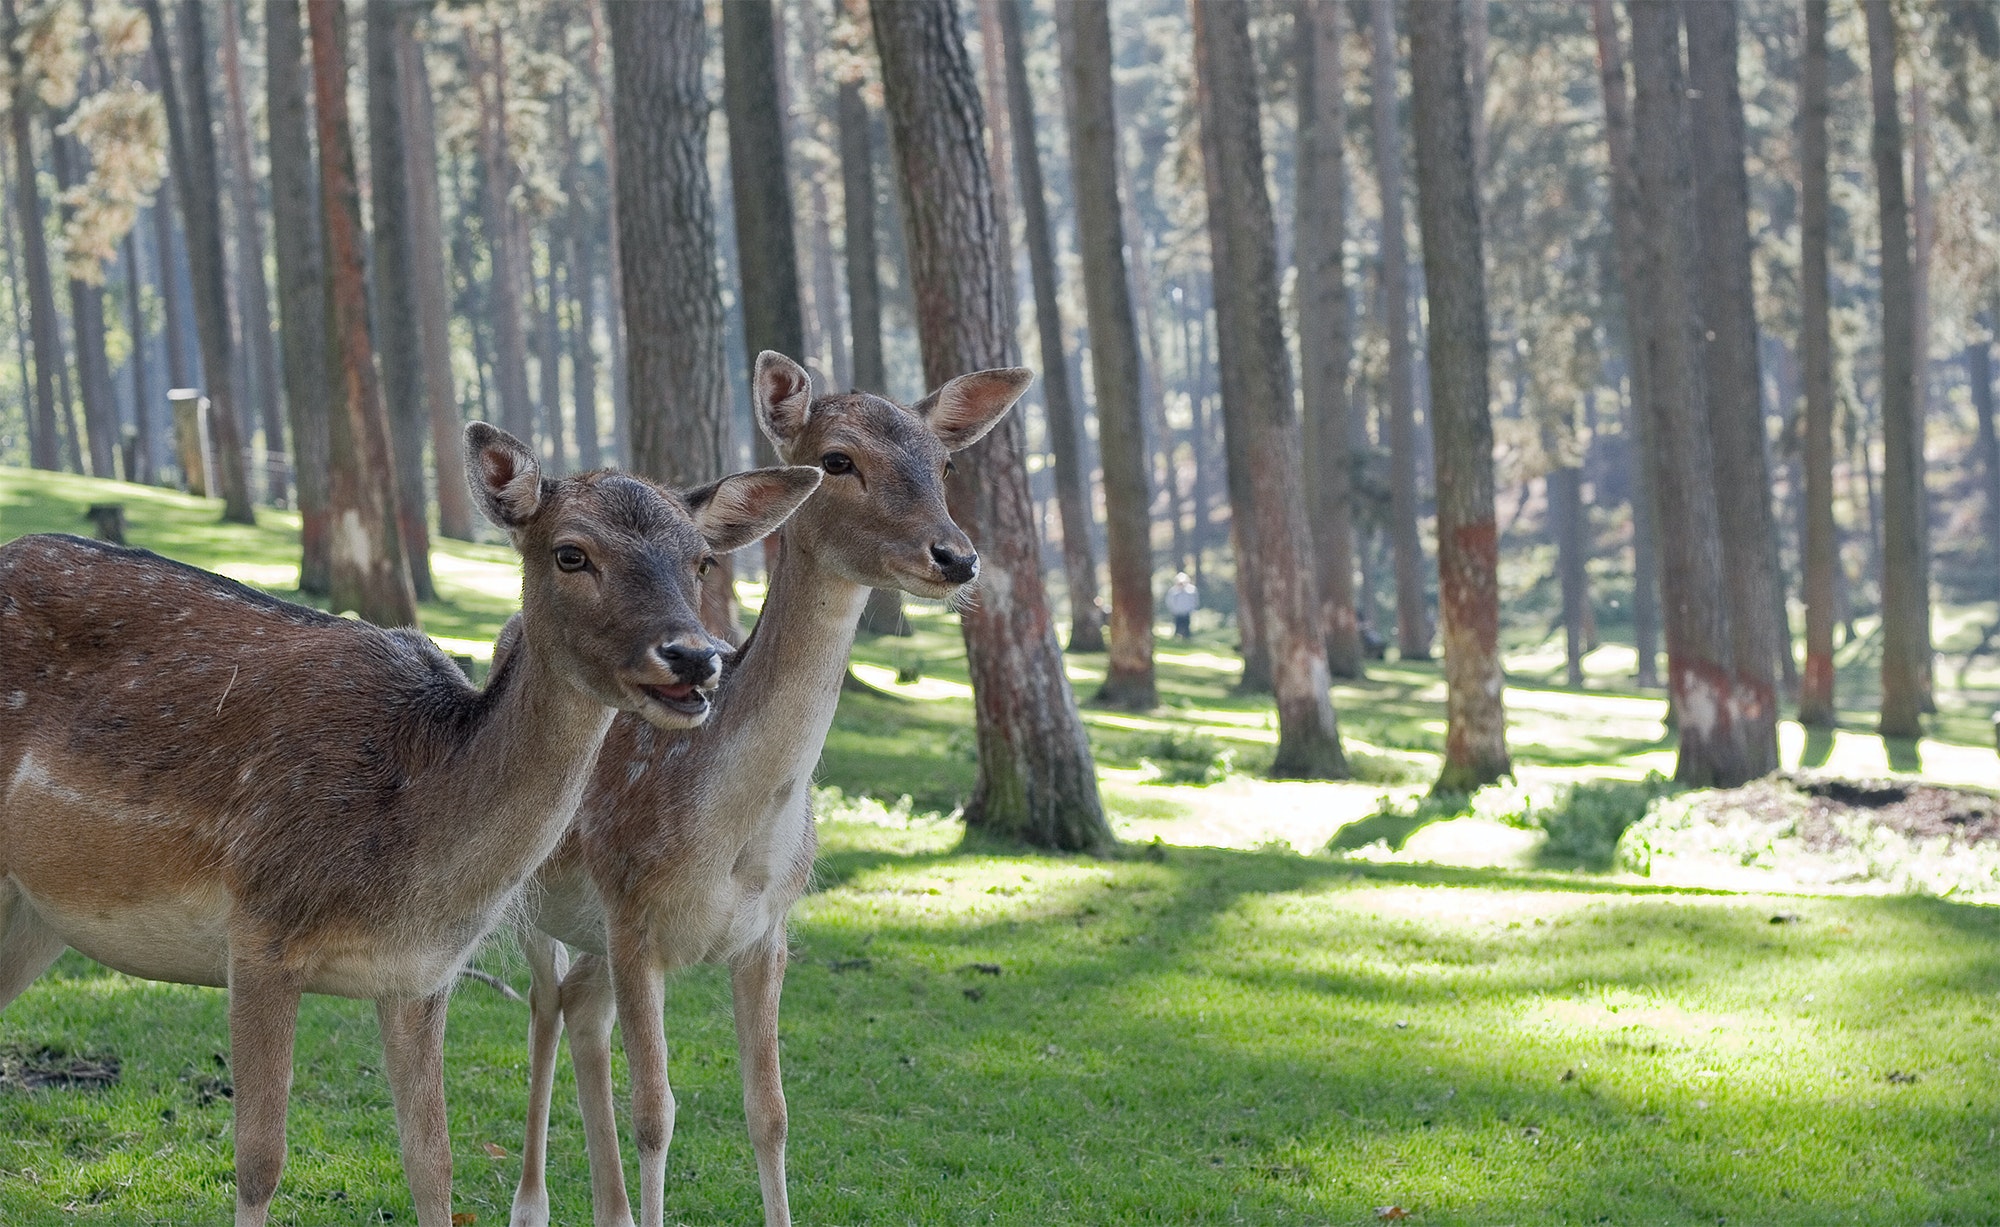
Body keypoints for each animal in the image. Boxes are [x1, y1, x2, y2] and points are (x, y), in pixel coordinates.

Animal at [0, 425, 820, 1227]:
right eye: (571, 552)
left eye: (702, 559)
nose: (693, 657)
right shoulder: (258, 929)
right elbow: (260, 1163)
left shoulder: (420, 976)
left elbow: (434, 1170)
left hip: (35, 913)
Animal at [504, 351, 1032, 1223]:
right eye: (837, 460)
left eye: (946, 463)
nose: (957, 556)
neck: (733, 840)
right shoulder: (631, 912)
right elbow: (657, 1112)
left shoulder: (767, 929)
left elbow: (772, 1113)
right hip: (527, 892)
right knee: (545, 1006)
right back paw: (531, 1203)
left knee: (580, 1008)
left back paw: (609, 1208)